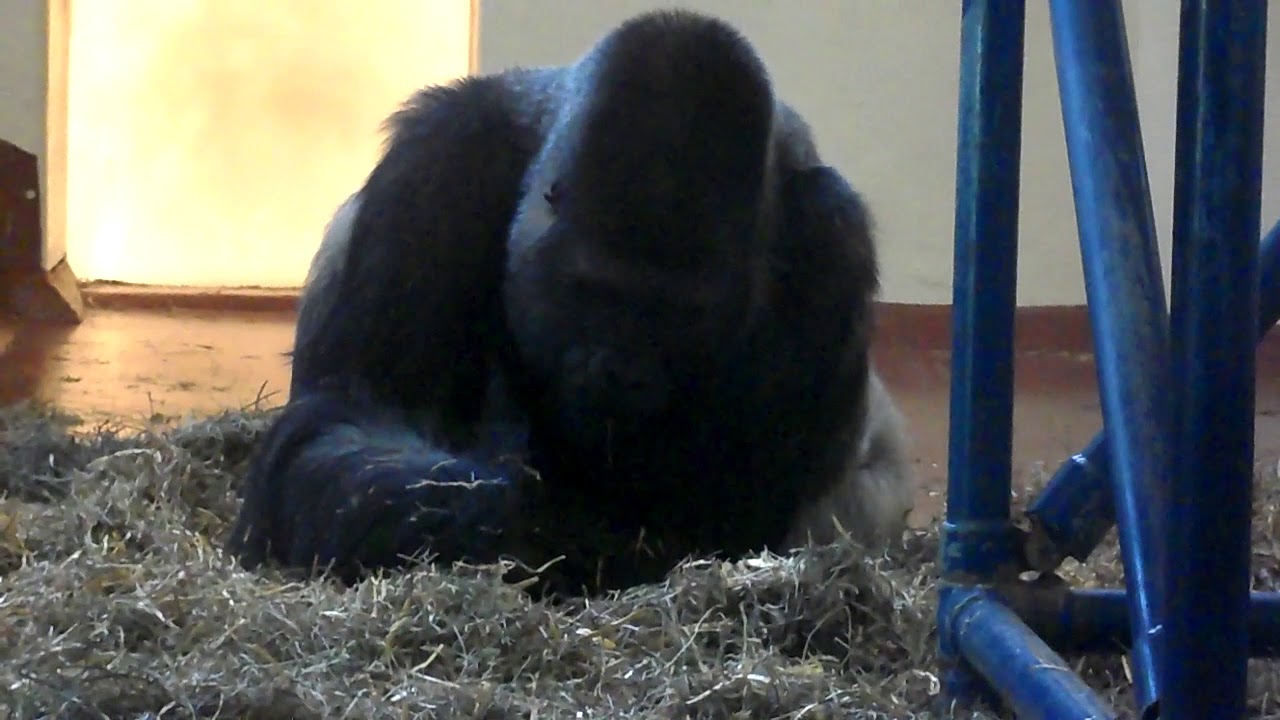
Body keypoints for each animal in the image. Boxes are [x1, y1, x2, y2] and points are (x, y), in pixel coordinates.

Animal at [225, 8, 914, 597]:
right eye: (594, 290)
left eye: (682, 316)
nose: (621, 372)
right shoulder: (440, 154)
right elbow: (350, 414)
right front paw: (533, 518)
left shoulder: (833, 235)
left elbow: (734, 510)